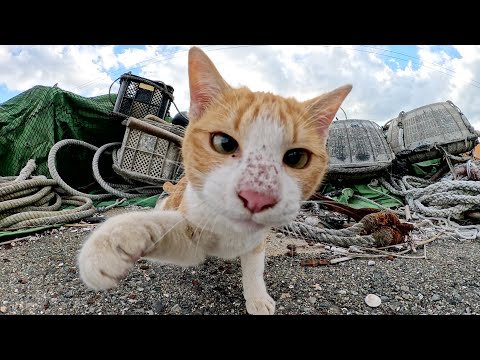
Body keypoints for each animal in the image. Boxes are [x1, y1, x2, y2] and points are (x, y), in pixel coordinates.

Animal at [77, 46, 350, 314]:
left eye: (296, 158)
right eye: (223, 143)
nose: (257, 197)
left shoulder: (257, 239)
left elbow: (255, 265)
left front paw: (257, 296)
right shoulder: (191, 239)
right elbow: (165, 230)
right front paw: (115, 242)